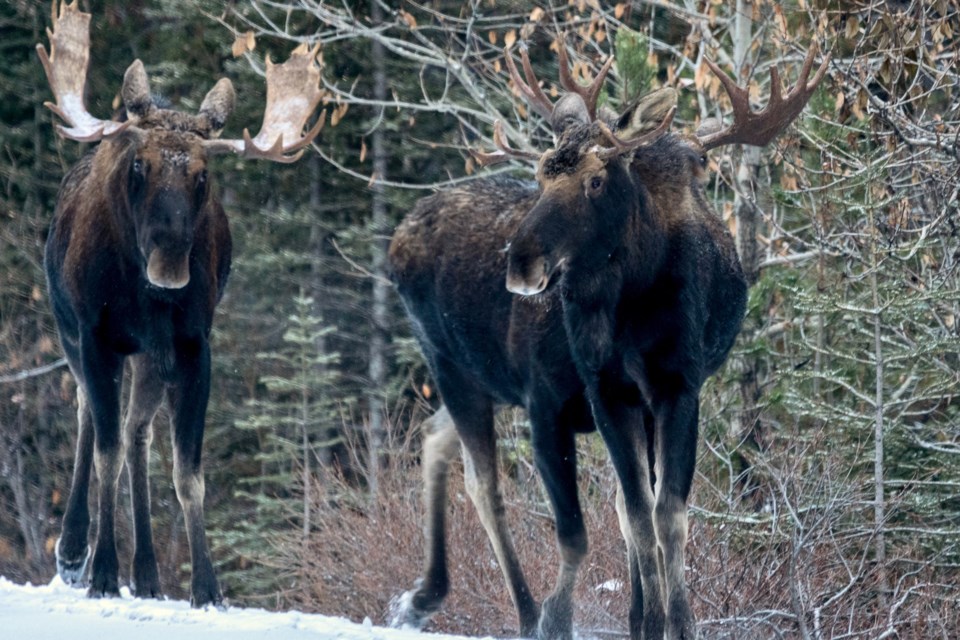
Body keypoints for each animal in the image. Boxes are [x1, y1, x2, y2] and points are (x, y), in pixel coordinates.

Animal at [39, 0, 324, 608]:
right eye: (138, 165)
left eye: (202, 174)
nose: (170, 265)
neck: (144, 297)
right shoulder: (96, 336)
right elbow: (104, 452)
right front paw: (101, 571)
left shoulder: (193, 346)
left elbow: (187, 473)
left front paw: (206, 586)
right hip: (70, 331)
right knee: (90, 417)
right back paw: (74, 552)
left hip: (150, 358)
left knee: (137, 432)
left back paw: (146, 572)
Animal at [386, 40, 828, 640]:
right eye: (541, 173)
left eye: (596, 180)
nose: (520, 262)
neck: (638, 312)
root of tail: (399, 234)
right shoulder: (578, 395)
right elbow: (598, 525)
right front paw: (567, 618)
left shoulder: (673, 389)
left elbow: (659, 512)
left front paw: (666, 623)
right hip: (451, 365)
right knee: (485, 487)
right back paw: (522, 611)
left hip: (479, 381)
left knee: (437, 439)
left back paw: (423, 596)